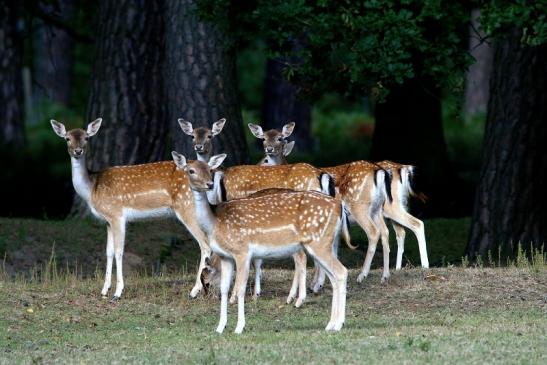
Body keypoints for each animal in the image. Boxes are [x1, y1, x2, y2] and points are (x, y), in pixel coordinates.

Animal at [51, 118, 213, 300]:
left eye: (86, 138)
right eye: (67, 138)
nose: (77, 151)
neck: (92, 188)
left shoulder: (117, 215)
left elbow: (119, 251)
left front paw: (117, 292)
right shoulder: (107, 221)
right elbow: (108, 252)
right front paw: (104, 290)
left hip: (187, 208)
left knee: (205, 244)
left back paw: (194, 291)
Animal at [172, 151, 352, 332]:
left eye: (210, 169)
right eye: (191, 170)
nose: (209, 184)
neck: (215, 223)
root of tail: (340, 207)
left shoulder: (242, 251)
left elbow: (241, 288)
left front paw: (239, 327)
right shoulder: (226, 256)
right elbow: (224, 288)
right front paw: (220, 328)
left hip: (319, 243)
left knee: (341, 272)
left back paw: (337, 323)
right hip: (323, 244)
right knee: (333, 277)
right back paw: (330, 324)